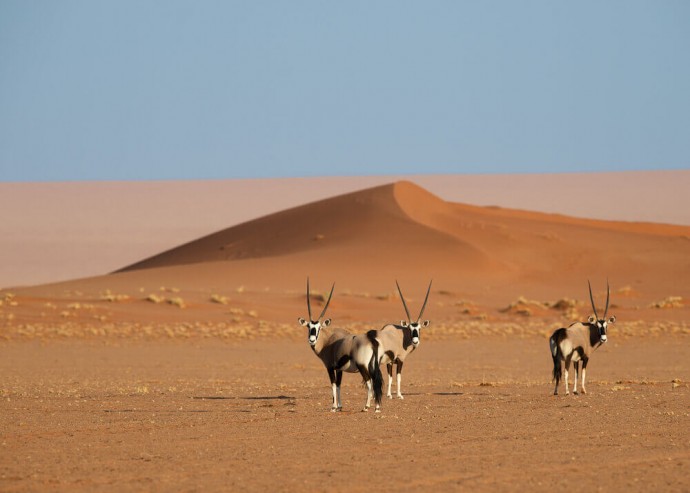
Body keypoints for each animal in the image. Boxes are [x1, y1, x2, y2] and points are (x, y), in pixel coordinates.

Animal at [296, 276, 382, 412]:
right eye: (309, 327)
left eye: (319, 327)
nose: (312, 340)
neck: (328, 340)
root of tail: (371, 340)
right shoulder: (339, 369)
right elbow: (339, 385)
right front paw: (340, 406)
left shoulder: (330, 367)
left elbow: (333, 384)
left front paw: (333, 407)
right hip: (373, 366)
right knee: (375, 381)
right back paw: (377, 408)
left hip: (363, 366)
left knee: (369, 382)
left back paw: (366, 407)